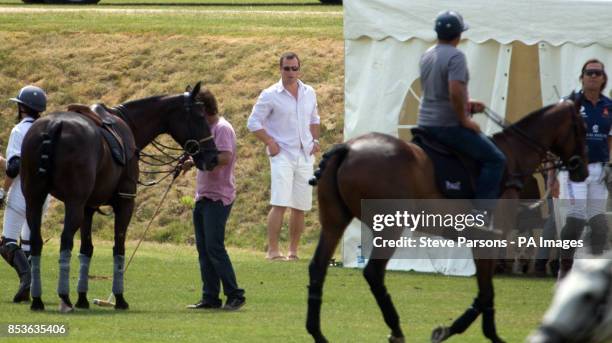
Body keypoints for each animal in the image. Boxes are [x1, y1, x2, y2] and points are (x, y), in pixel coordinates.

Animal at [20, 81, 218, 312]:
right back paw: (64, 298)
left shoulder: (89, 207)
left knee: (36, 242)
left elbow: (86, 249)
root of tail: (54, 124)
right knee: (65, 240)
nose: (213, 158)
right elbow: (119, 248)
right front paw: (119, 299)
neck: (129, 124)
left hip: (34, 199)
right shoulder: (125, 201)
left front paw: (83, 298)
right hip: (73, 203)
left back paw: (38, 300)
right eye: (200, 116)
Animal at [304, 101, 588, 342]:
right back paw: (396, 329)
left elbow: (485, 293)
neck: (512, 159)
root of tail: (347, 148)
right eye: (582, 129)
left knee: (318, 267)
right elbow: (486, 293)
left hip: (334, 221)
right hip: (390, 227)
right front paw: (467, 332)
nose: (581, 170)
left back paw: (317, 333)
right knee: (373, 272)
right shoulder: (489, 240)